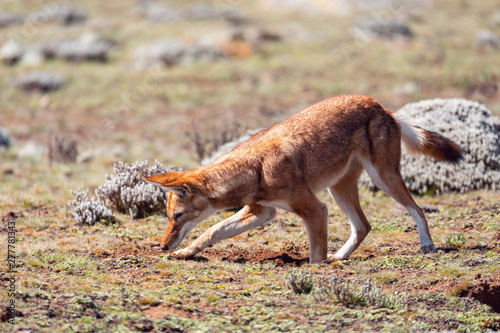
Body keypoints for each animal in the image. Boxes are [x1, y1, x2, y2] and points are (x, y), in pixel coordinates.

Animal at [144, 94, 460, 264]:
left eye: (177, 216)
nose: (162, 246)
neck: (256, 168)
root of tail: (381, 106)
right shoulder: (262, 211)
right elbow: (213, 231)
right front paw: (186, 252)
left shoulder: (315, 210)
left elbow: (315, 255)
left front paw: (315, 270)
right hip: (339, 191)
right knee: (363, 226)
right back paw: (340, 258)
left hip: (383, 180)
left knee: (417, 210)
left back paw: (426, 246)